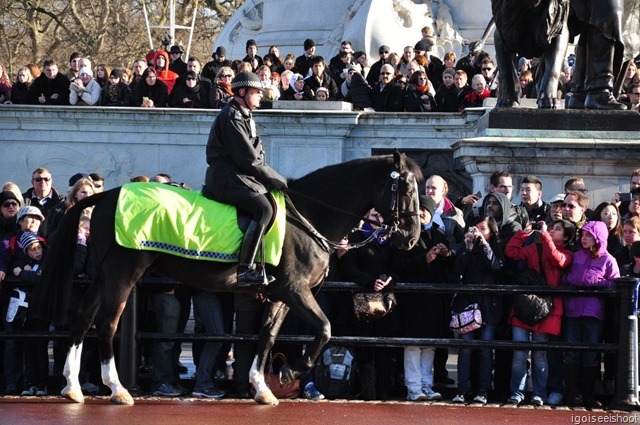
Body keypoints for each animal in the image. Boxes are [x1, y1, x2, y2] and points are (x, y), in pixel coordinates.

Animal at [33, 152, 424, 404]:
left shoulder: (281, 295)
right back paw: (117, 389)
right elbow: (324, 329)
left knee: (82, 319)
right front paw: (291, 372)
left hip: (103, 275)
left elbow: (267, 336)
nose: (411, 237)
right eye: (406, 188)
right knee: (107, 325)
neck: (308, 216)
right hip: (123, 274)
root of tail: (107, 194)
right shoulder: (296, 290)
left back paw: (72, 387)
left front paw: (263, 387)